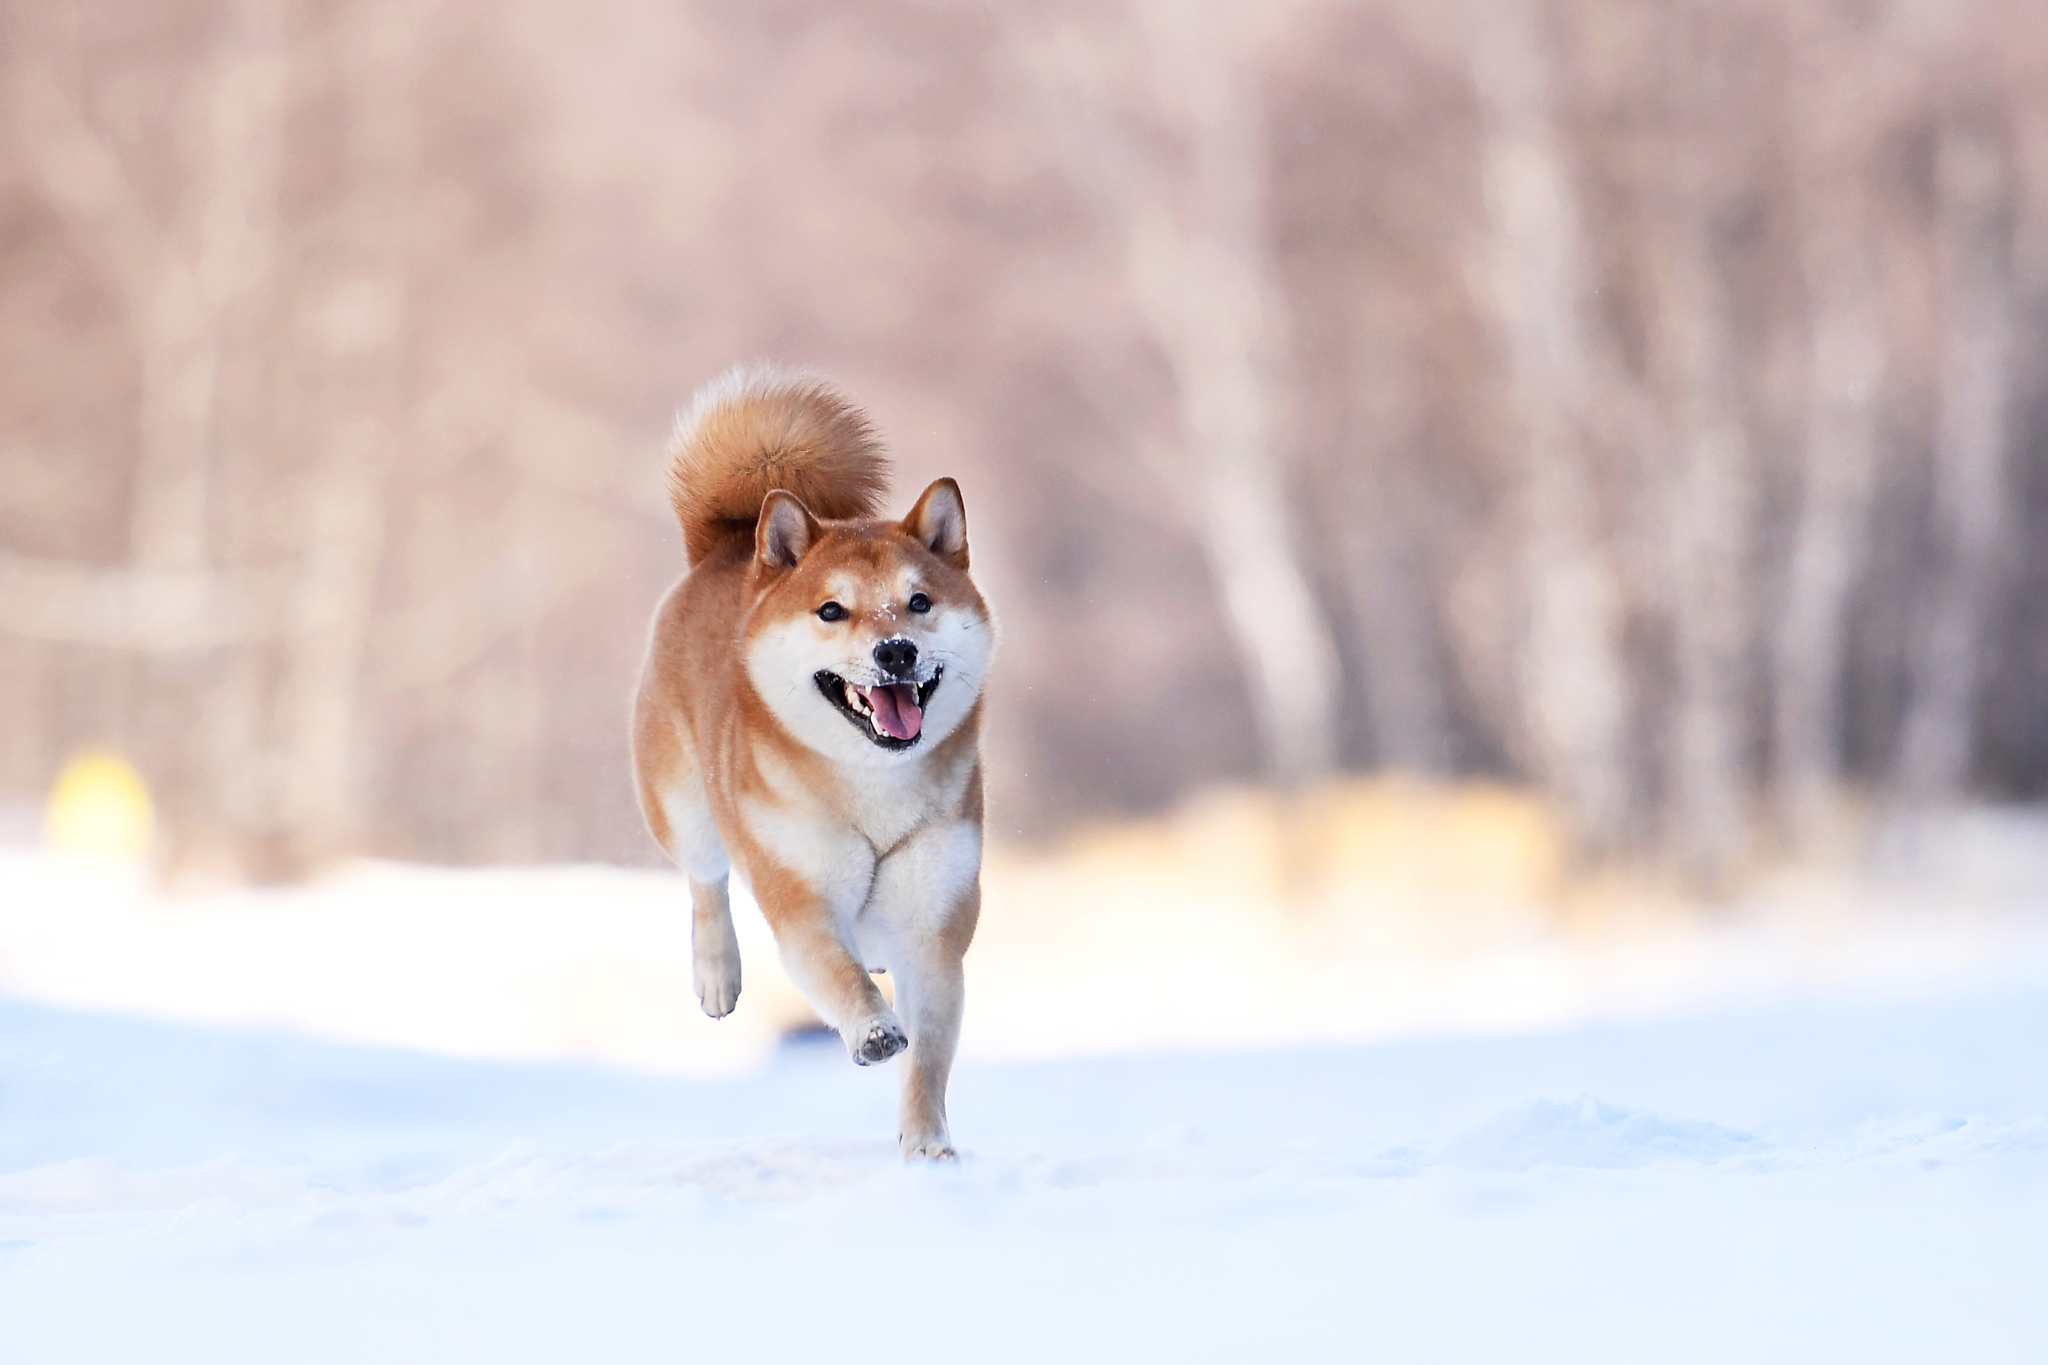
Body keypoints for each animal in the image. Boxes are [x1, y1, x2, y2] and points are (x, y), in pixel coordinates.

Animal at [634, 366, 995, 1162]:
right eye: (833, 610)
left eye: (919, 601)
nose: (896, 651)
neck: (874, 787)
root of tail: (726, 547)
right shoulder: (800, 894)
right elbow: (837, 972)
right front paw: (873, 1028)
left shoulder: (935, 923)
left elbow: (930, 1054)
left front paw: (929, 1146)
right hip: (682, 803)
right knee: (705, 882)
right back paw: (717, 974)